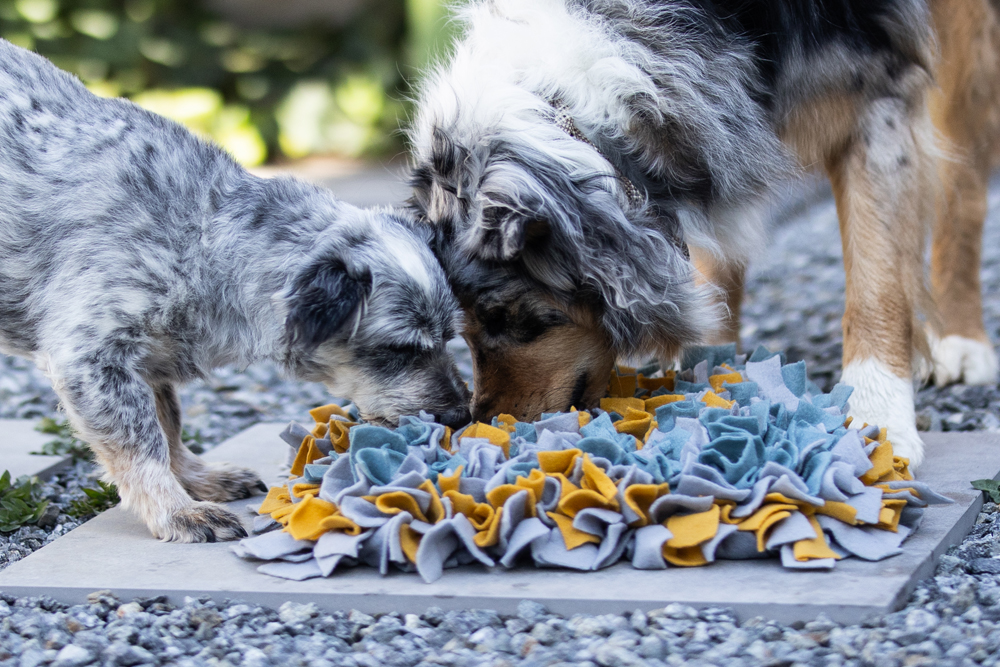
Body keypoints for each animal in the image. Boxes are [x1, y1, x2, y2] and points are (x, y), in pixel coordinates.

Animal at [0, 40, 468, 544]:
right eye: (399, 350)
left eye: (449, 338)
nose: (463, 415)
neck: (198, 233)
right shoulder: (90, 359)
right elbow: (143, 443)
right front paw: (177, 511)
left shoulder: (148, 362)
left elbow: (169, 426)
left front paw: (197, 479)